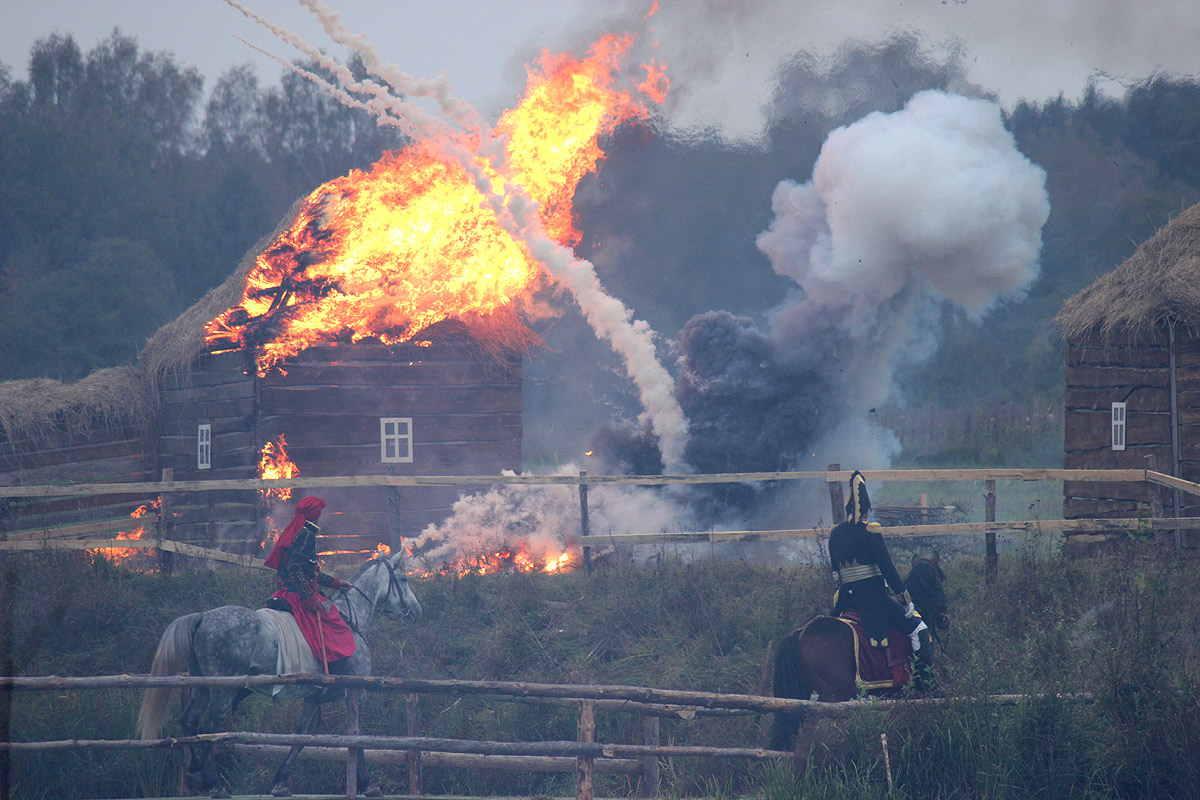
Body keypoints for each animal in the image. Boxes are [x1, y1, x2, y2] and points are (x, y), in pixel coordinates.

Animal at [137, 546, 422, 796]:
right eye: (404, 579)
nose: (417, 611)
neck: (349, 619)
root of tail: (203, 616)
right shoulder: (356, 691)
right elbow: (357, 737)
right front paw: (368, 785)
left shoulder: (312, 698)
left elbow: (300, 737)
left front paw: (281, 783)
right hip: (224, 689)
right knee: (210, 727)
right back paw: (214, 784)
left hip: (203, 687)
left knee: (190, 721)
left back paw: (196, 772)